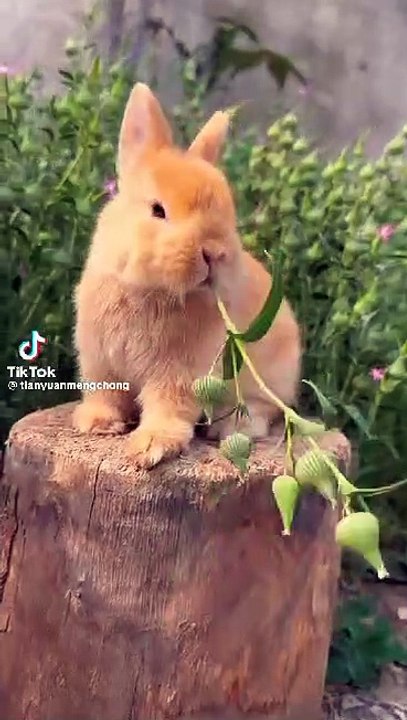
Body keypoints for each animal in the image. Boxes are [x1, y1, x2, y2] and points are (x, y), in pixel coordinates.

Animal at [73, 82, 302, 468]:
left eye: (227, 210)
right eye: (157, 210)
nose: (214, 253)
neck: (149, 290)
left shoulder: (181, 373)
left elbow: (169, 407)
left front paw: (151, 447)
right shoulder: (99, 361)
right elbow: (105, 393)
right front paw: (97, 424)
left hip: (270, 376)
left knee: (266, 410)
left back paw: (233, 427)